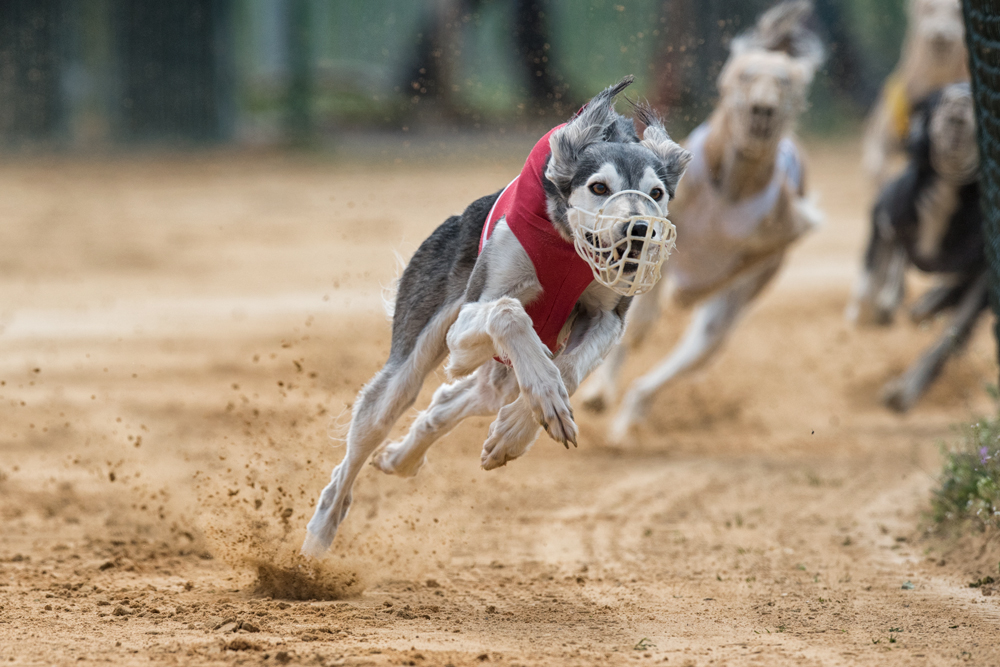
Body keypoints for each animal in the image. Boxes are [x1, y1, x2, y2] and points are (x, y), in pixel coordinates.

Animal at [300, 78, 692, 560]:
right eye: (599, 187)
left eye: (656, 194)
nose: (638, 230)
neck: (566, 244)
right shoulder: (467, 325)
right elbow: (508, 312)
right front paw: (540, 396)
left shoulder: (606, 317)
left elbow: (569, 370)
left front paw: (515, 430)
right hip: (411, 359)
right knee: (366, 439)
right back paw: (315, 542)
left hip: (499, 375)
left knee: (457, 399)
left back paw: (402, 458)